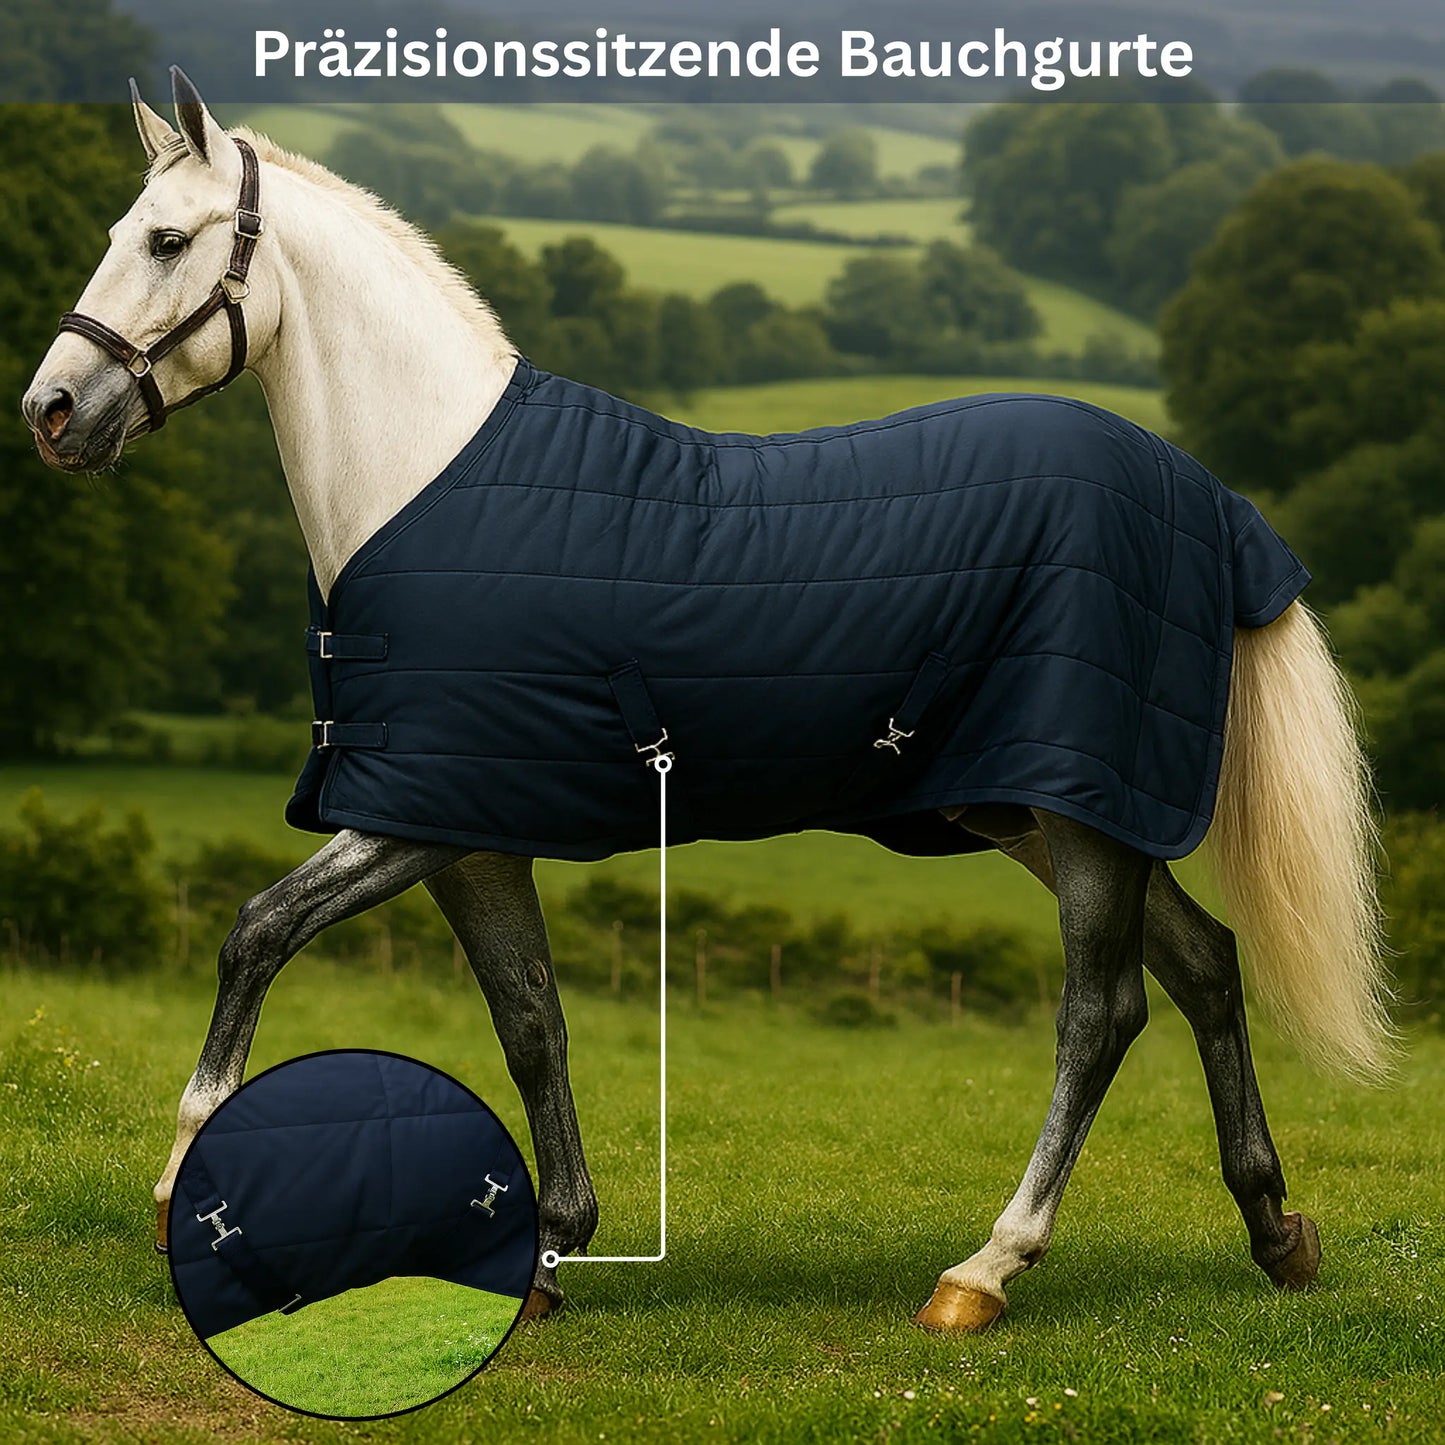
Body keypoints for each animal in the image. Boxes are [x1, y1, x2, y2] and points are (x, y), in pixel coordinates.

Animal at [22, 70, 1395, 1332]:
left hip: (1081, 811)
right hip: (1045, 815)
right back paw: (1273, 1229)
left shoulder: (410, 813)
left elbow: (253, 933)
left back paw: (984, 1270)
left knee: (1100, 1013)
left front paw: (181, 1195)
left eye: (164, 240)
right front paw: (548, 1249)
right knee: (1204, 966)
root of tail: (1201, 495)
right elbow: (531, 1021)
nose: (50, 412)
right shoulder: (466, 831)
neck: (425, 480)